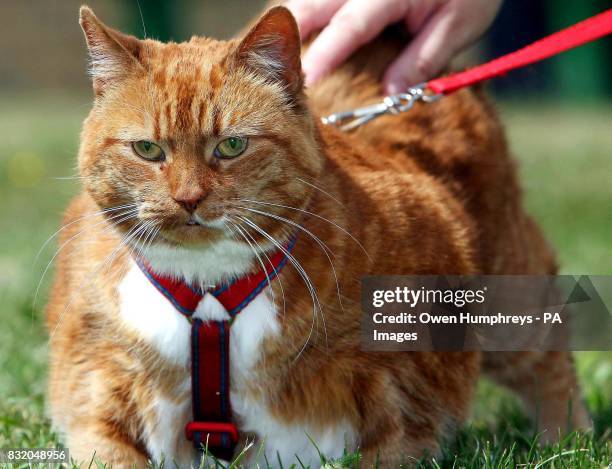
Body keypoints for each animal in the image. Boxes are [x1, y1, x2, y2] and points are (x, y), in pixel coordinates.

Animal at [45, 4, 592, 468]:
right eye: (147, 150)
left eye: (232, 145)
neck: (209, 293)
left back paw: (564, 438)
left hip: (507, 292)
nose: (188, 199)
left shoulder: (411, 392)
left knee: (548, 354)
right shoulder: (94, 387)